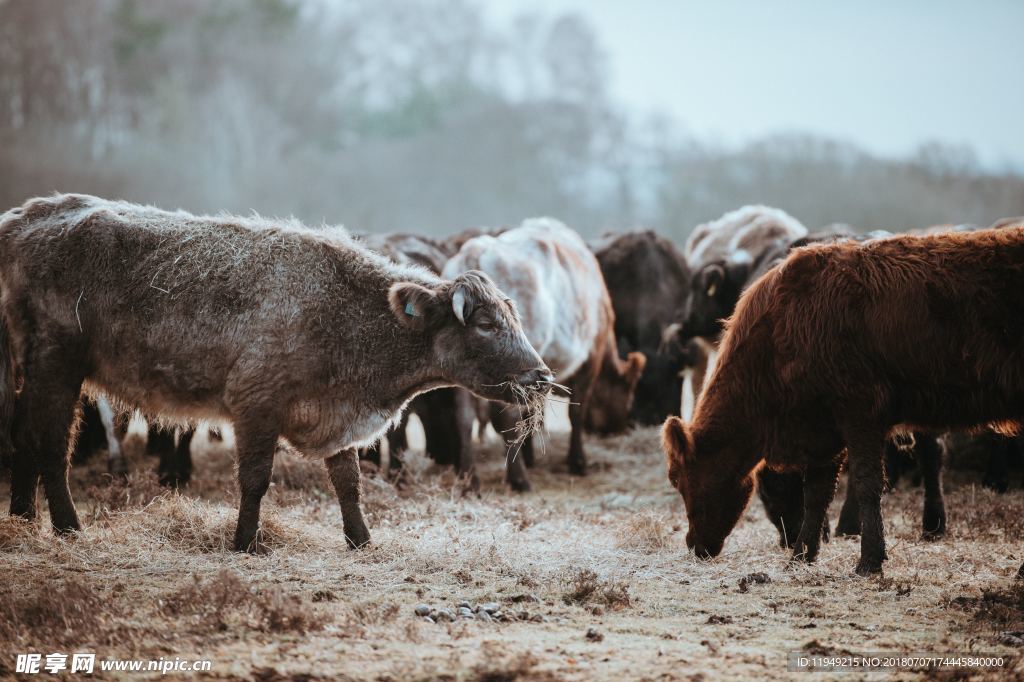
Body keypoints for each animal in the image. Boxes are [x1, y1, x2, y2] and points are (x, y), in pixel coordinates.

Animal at [0, 192, 552, 552]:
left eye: (513, 317)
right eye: (484, 323)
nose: (541, 377)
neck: (344, 313)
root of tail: (27, 215)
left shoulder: (336, 416)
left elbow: (348, 481)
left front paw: (360, 539)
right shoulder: (256, 406)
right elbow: (255, 480)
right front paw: (245, 542)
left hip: (31, 370)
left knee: (24, 438)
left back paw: (22, 518)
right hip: (57, 366)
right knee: (51, 445)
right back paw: (68, 526)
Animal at [444, 218, 643, 489]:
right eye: (629, 392)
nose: (624, 427)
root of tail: (475, 252)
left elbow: (532, 415)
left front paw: (529, 456)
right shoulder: (589, 358)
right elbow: (576, 412)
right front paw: (577, 462)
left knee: (463, 417)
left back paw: (469, 479)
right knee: (506, 417)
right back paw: (519, 479)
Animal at [659, 225, 1024, 569]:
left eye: (677, 478)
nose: (695, 544)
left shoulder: (859, 413)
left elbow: (866, 483)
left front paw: (869, 559)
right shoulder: (824, 428)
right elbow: (818, 493)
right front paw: (802, 555)